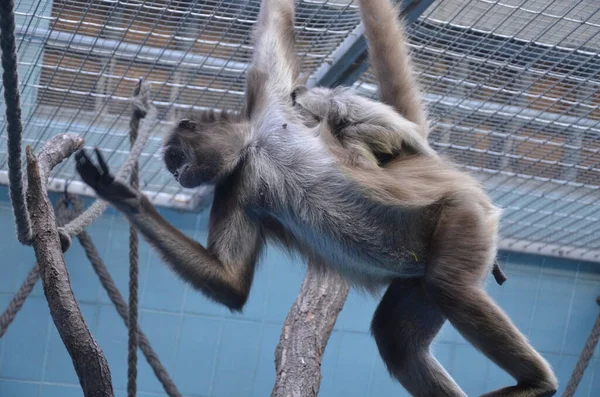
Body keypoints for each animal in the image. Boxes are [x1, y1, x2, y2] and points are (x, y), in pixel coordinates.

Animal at [75, 0, 556, 394]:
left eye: (176, 158)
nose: (177, 176)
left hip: (462, 214)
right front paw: (120, 194)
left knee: (449, 286)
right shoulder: (237, 184)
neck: (256, 147)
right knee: (398, 335)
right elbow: (229, 283)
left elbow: (276, 19)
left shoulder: (270, 100)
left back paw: (539, 383)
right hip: (417, 271)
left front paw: (117, 189)